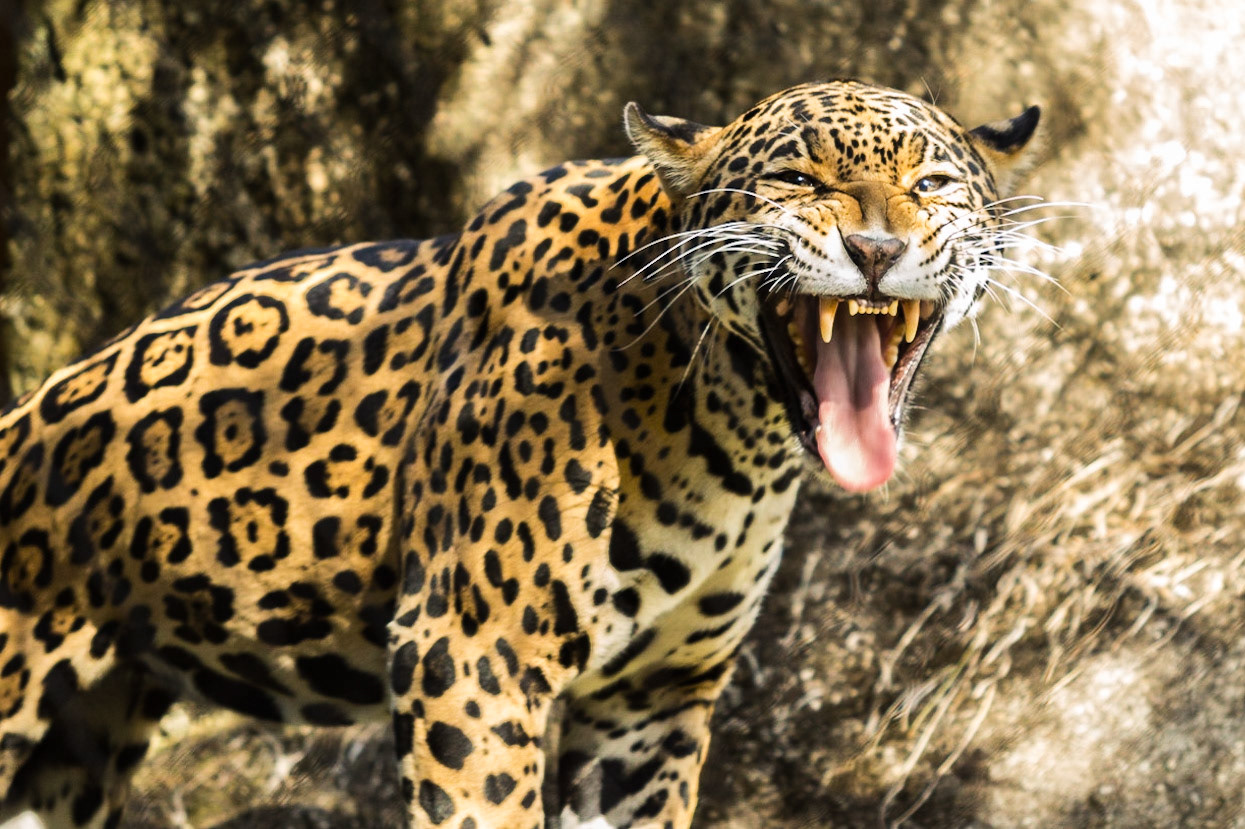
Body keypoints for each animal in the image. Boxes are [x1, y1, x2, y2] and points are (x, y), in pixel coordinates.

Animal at [0, 79, 1039, 829]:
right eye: (796, 179)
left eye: (933, 186)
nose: (876, 249)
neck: (729, 424)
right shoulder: (467, 653)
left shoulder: (653, 701)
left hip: (75, 753)